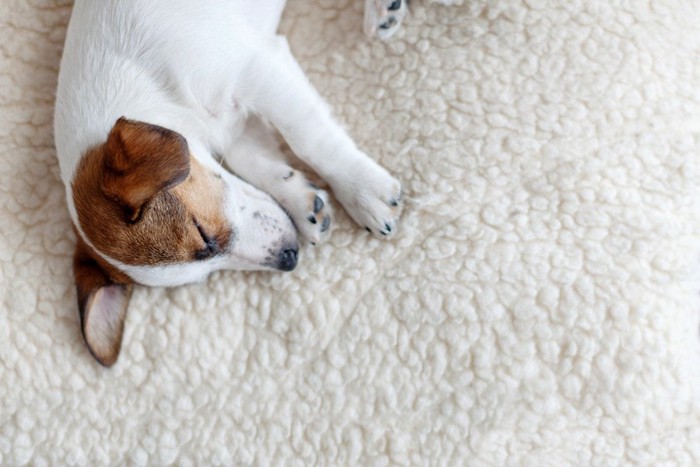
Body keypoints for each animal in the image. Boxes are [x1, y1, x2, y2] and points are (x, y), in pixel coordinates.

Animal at [53, 0, 404, 366]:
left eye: (203, 235)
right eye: (202, 274)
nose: (290, 258)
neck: (138, 75)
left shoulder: (256, 71)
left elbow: (307, 139)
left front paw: (362, 190)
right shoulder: (236, 127)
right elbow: (253, 161)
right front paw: (301, 199)